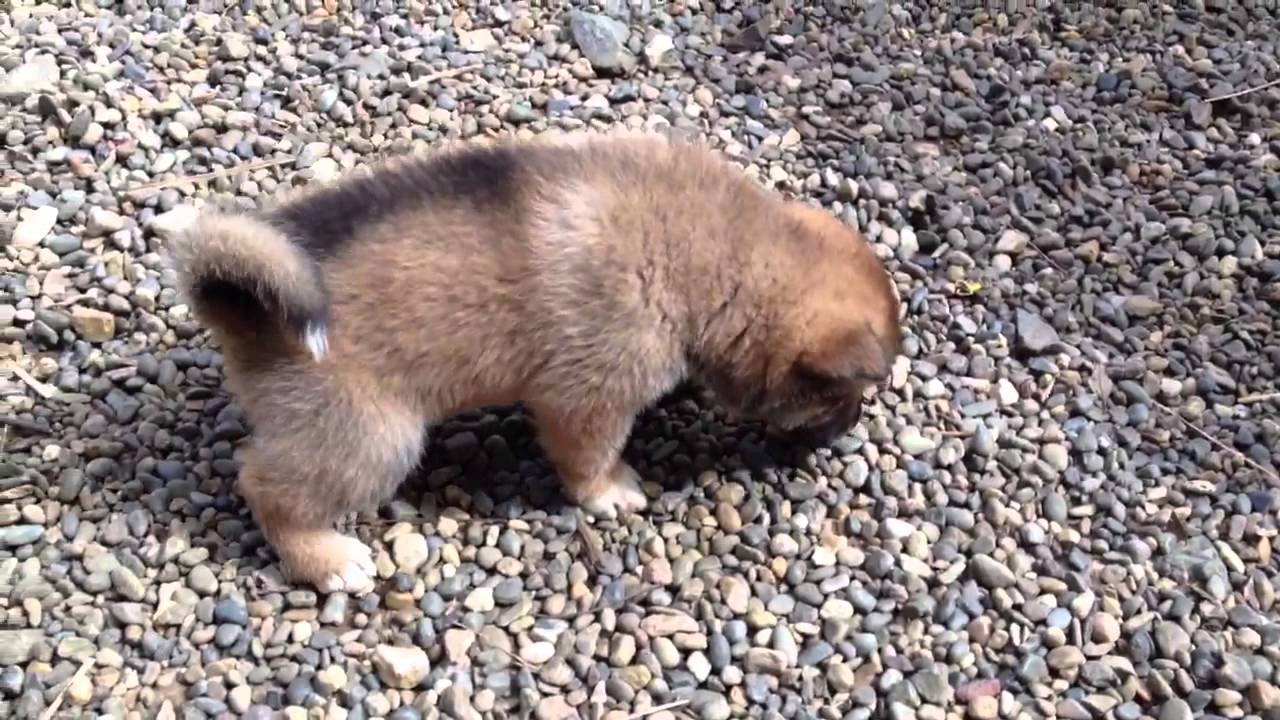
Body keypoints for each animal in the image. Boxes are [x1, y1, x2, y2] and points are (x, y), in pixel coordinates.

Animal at [165, 131, 906, 591]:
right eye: (839, 395)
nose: (848, 432)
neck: (712, 254)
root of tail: (244, 314)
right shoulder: (588, 397)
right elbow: (588, 457)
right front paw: (609, 492)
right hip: (370, 437)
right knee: (267, 486)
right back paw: (325, 559)